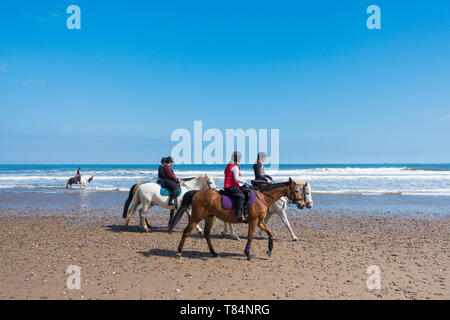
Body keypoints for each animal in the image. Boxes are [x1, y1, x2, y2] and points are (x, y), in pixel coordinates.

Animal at [169, 179, 312, 262]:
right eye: (296, 190)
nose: (303, 204)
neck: (262, 198)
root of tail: (197, 192)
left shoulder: (260, 222)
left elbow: (270, 233)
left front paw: (270, 250)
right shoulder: (254, 222)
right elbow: (250, 237)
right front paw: (247, 254)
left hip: (209, 216)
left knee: (207, 233)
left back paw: (213, 252)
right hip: (196, 217)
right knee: (186, 231)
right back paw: (179, 252)